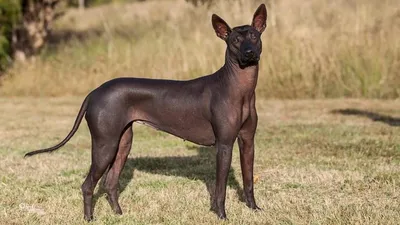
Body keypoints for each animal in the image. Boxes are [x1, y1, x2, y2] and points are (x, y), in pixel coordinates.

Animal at [25, 3, 268, 221]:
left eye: (255, 36)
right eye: (235, 41)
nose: (249, 53)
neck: (240, 88)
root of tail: (94, 92)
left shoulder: (248, 141)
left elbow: (248, 180)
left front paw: (254, 209)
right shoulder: (224, 145)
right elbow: (220, 187)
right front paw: (221, 215)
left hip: (122, 143)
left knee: (110, 183)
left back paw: (119, 214)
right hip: (105, 145)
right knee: (87, 185)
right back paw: (89, 218)